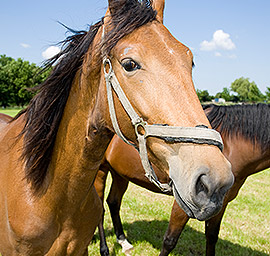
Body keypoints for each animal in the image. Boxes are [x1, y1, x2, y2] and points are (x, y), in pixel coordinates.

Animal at [95, 103, 270, 255]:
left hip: (120, 174)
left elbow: (212, 237)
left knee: (113, 202)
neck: (231, 146)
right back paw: (104, 249)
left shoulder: (221, 204)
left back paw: (123, 241)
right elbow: (170, 240)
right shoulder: (183, 204)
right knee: (99, 209)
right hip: (99, 172)